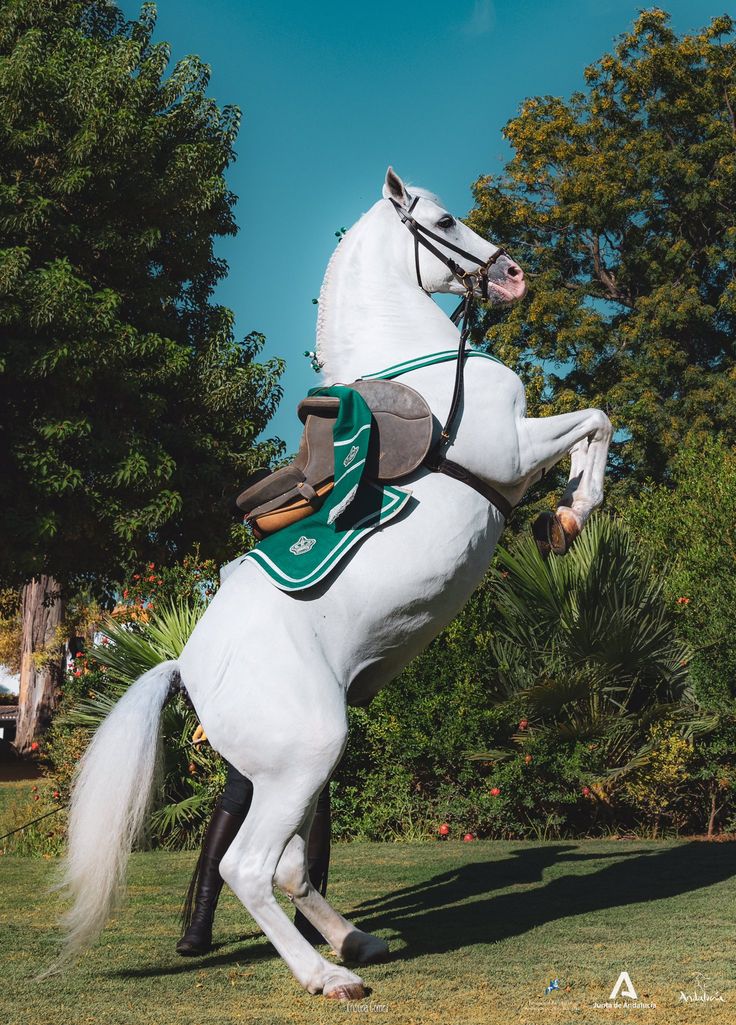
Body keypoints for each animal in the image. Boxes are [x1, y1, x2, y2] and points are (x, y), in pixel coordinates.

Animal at [57, 168, 612, 1000]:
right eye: (444, 221)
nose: (512, 274)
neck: (422, 368)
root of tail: (185, 664)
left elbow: (595, 423)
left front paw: (562, 520)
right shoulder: (511, 453)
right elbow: (596, 420)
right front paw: (569, 516)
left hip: (293, 770)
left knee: (289, 866)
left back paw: (357, 938)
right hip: (306, 754)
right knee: (249, 866)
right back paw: (327, 973)